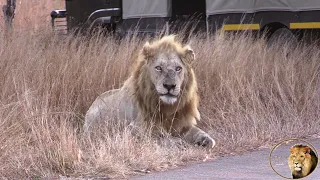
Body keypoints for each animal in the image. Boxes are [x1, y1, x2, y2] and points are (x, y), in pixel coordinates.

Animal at [84, 34, 216, 148]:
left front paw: (206, 139)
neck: (166, 108)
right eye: (158, 68)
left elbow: (196, 130)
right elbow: (155, 135)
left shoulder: (180, 123)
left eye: (178, 68)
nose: (169, 86)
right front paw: (176, 141)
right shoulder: (135, 128)